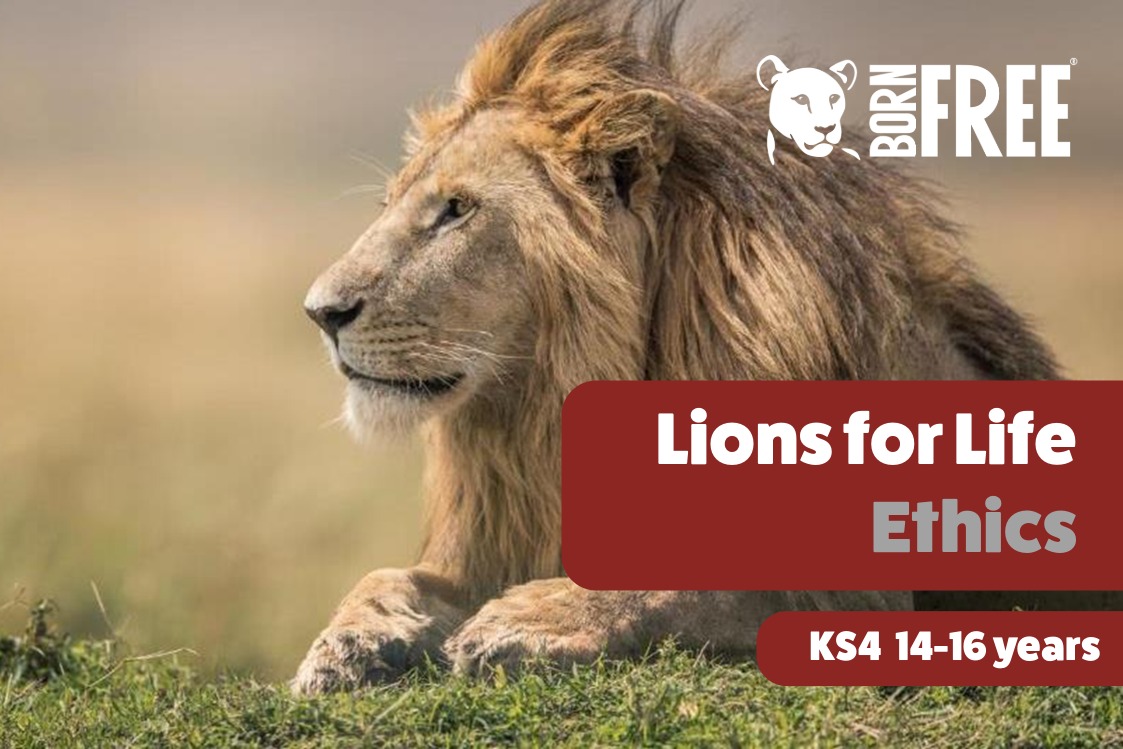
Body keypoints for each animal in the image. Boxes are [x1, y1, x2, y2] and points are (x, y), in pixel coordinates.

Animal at [292, 0, 1107, 695]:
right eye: (393, 204)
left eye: (457, 210)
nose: (320, 312)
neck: (548, 408)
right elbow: (388, 576)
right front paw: (348, 643)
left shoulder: (861, 601)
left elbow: (691, 584)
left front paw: (527, 619)